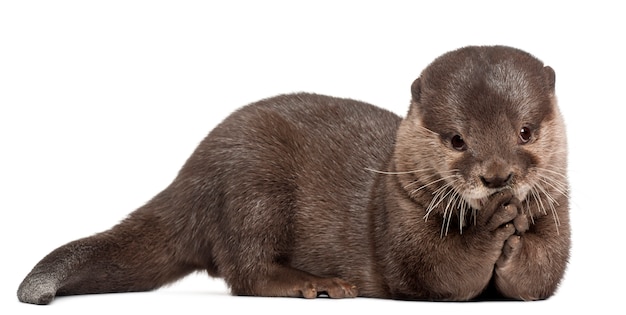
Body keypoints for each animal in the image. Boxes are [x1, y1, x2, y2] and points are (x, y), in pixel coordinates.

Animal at [17, 45, 568, 304]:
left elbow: (538, 278)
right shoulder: (397, 219)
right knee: (245, 269)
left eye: (524, 131)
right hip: (253, 183)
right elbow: (437, 274)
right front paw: (491, 225)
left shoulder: (558, 210)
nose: (497, 177)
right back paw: (316, 285)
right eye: (457, 139)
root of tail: (193, 170)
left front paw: (519, 234)